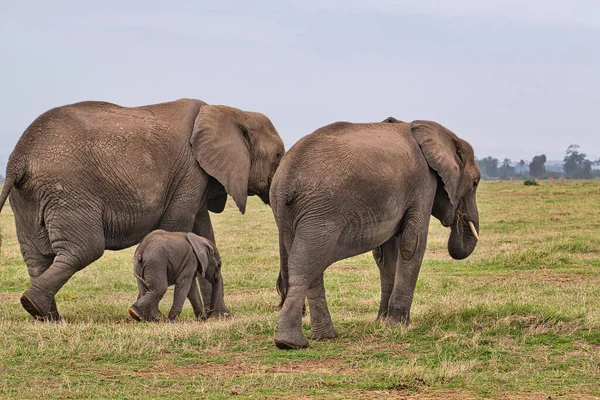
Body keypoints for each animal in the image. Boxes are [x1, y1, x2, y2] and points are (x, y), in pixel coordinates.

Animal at [0, 97, 284, 322]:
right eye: (279, 155)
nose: (279, 299)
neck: (230, 112)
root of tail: (18, 158)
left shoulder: (198, 178)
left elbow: (203, 233)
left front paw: (219, 317)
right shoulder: (190, 172)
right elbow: (179, 228)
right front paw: (160, 317)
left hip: (28, 197)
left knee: (37, 257)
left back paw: (46, 316)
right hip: (68, 189)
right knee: (83, 249)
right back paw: (37, 307)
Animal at [270, 117, 480, 348]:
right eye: (475, 184)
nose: (459, 219)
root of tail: (284, 180)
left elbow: (387, 254)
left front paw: (382, 322)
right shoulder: (424, 183)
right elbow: (412, 244)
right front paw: (398, 325)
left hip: (292, 216)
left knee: (310, 265)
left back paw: (321, 336)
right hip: (321, 213)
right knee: (306, 265)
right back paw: (291, 343)